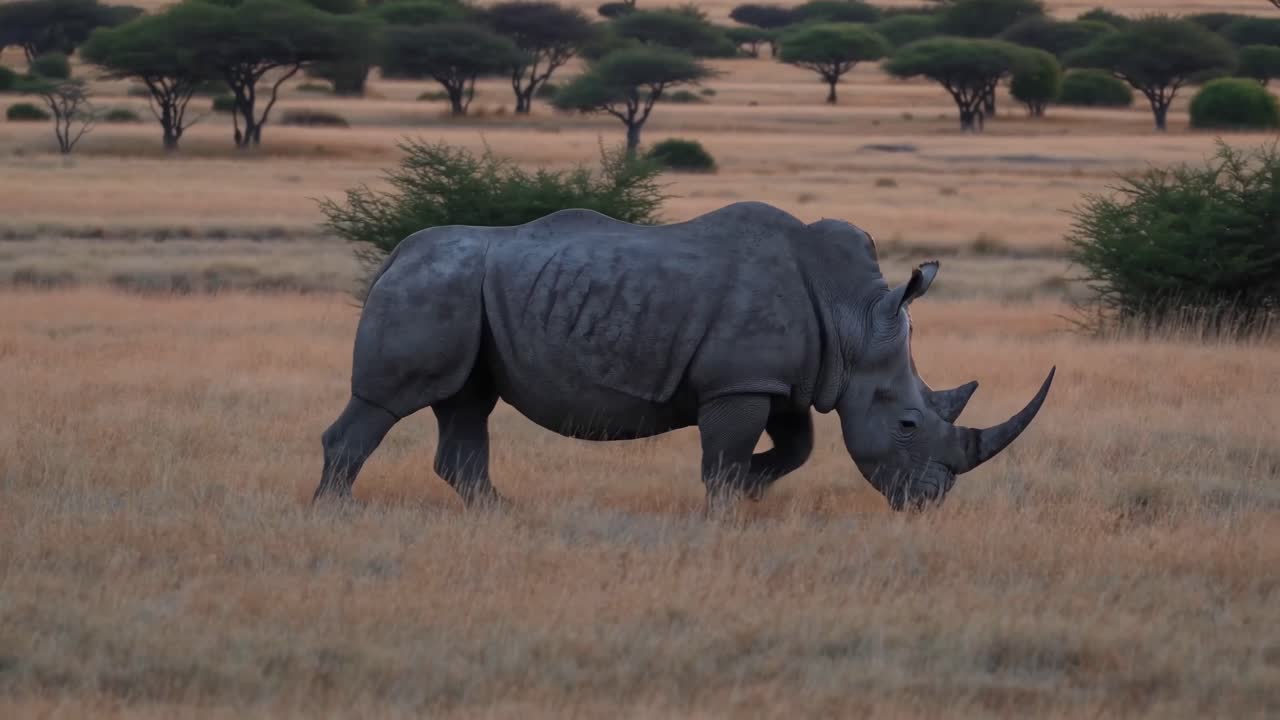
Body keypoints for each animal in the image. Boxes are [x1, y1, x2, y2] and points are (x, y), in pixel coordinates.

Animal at [315, 202, 1054, 512]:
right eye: (906, 423)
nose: (930, 502)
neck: (853, 318)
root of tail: (394, 256)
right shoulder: (739, 384)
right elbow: (725, 455)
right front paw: (727, 510)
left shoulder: (779, 379)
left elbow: (798, 446)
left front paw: (755, 487)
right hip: (434, 287)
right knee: (388, 403)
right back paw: (335, 513)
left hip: (464, 297)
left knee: (466, 402)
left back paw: (502, 514)